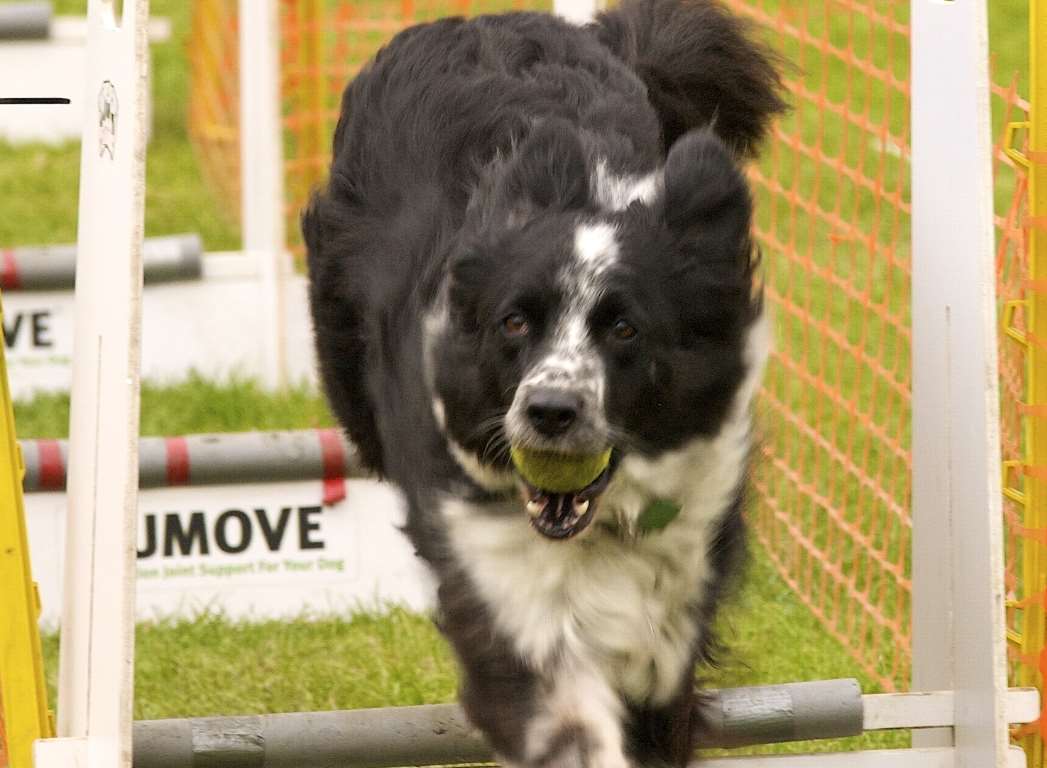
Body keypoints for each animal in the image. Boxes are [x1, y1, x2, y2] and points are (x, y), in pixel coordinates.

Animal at [305, 3, 783, 765]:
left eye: (625, 329)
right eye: (514, 322)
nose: (549, 412)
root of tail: (485, 19)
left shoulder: (681, 567)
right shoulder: (485, 561)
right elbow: (551, 698)